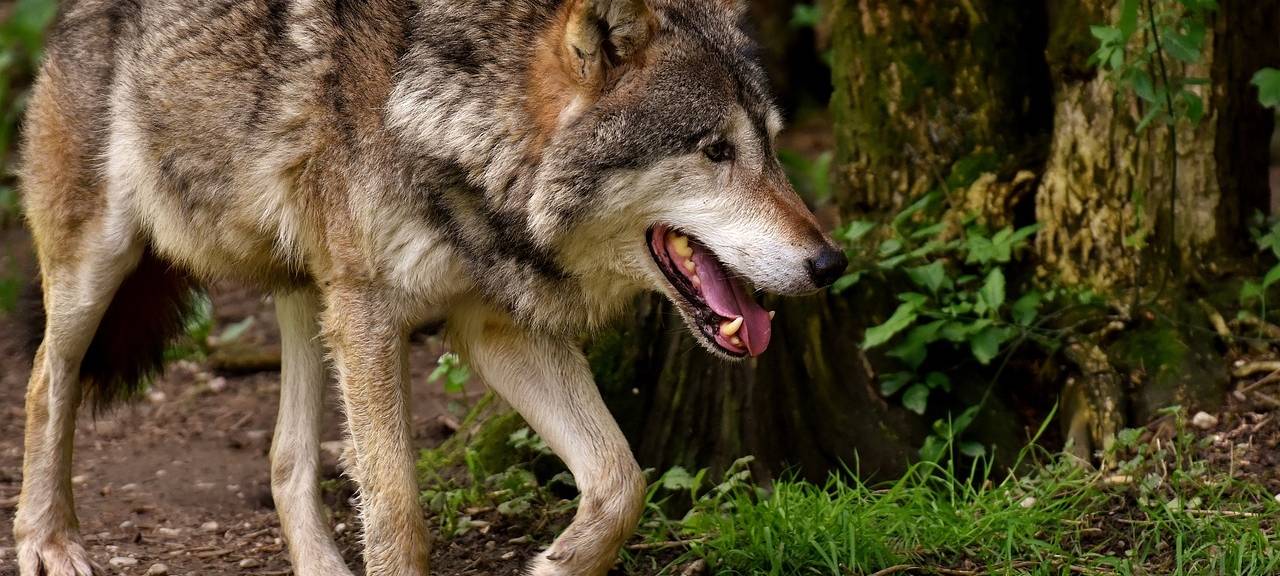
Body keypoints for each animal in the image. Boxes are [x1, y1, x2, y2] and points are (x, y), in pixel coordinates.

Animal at [13, 0, 848, 574]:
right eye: (715, 150)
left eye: (772, 148)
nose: (830, 263)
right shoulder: (373, 317)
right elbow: (399, 517)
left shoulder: (492, 328)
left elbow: (621, 481)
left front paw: (554, 565)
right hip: (101, 264)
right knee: (46, 383)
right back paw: (49, 542)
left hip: (310, 293)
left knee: (286, 459)